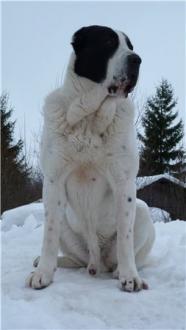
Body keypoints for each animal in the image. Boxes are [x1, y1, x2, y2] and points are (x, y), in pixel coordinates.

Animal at [25, 26, 154, 294]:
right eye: (108, 42)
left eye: (130, 46)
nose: (136, 59)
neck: (89, 118)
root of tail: (97, 261)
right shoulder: (53, 182)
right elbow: (49, 235)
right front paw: (43, 273)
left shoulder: (124, 183)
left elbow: (125, 237)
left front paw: (130, 276)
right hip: (65, 219)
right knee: (77, 258)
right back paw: (50, 262)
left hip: (143, 212)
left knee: (123, 253)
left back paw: (119, 271)